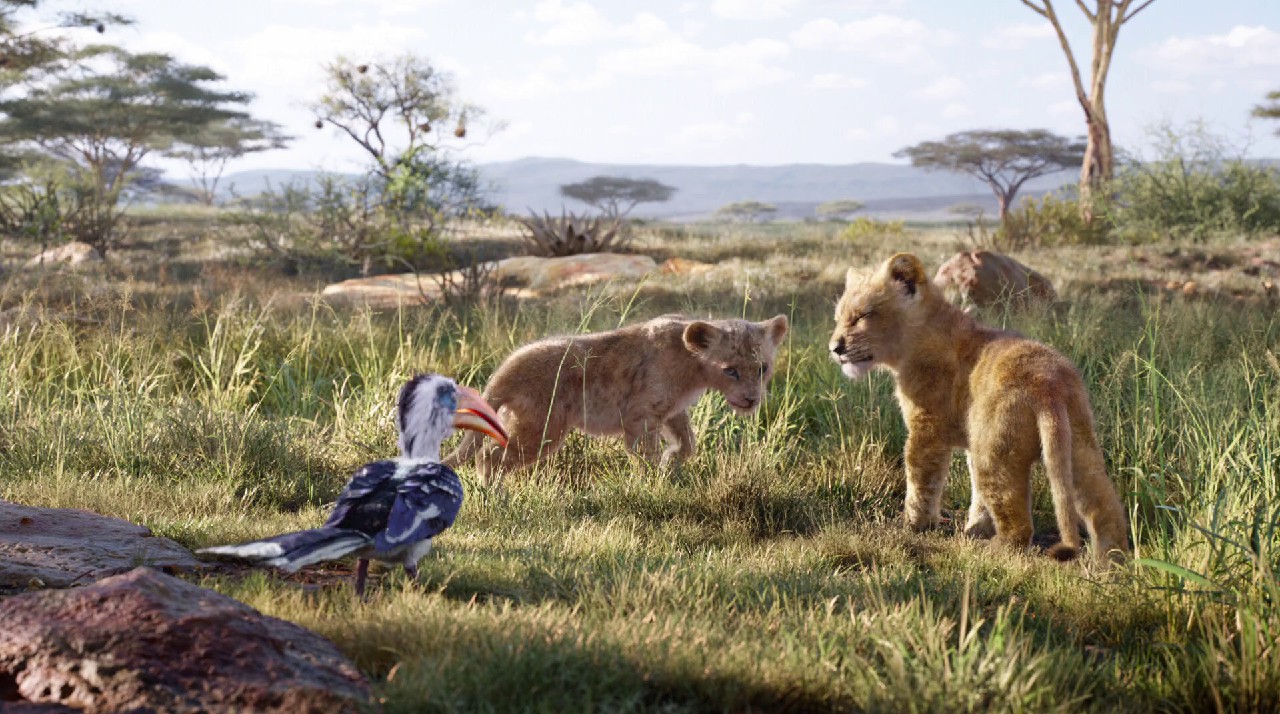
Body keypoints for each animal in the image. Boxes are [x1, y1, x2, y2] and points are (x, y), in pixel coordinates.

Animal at [446, 314, 789, 478]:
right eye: (730, 370)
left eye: (762, 368)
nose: (751, 400)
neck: (693, 367)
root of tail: (503, 372)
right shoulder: (640, 415)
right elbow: (645, 454)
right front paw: (654, 482)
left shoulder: (671, 411)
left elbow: (688, 443)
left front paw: (671, 461)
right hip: (541, 429)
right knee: (489, 457)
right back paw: (494, 497)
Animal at [829, 253, 1128, 563]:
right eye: (838, 318)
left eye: (862, 316)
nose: (834, 348)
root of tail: (1048, 384)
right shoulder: (972, 439)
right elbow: (977, 497)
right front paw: (976, 529)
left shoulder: (927, 427)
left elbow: (921, 479)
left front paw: (914, 525)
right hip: (1078, 446)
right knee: (1105, 507)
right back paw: (1112, 561)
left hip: (995, 453)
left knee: (1018, 524)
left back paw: (994, 550)